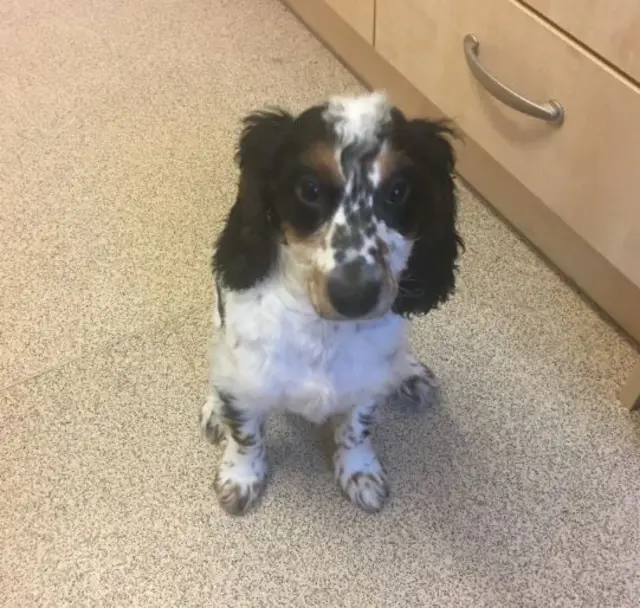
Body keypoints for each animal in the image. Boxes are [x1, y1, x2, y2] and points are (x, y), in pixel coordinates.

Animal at [200, 92, 460, 516]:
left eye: (398, 190)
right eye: (309, 189)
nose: (355, 296)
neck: (323, 330)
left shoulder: (367, 378)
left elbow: (357, 429)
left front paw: (360, 474)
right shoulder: (244, 380)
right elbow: (246, 434)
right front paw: (240, 478)